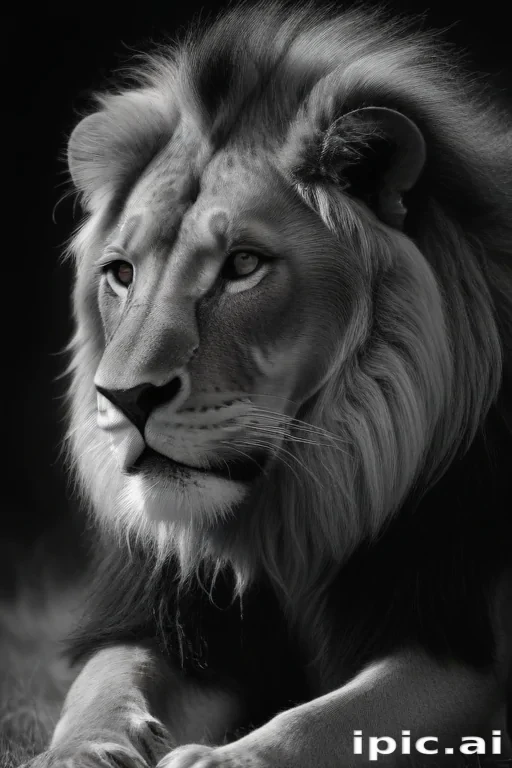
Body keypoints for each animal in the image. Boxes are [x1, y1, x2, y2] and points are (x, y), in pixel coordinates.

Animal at [24, 2, 511, 766]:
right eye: (121, 272)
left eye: (244, 265)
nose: (125, 399)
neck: (294, 519)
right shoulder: (176, 623)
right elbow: (103, 684)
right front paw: (76, 752)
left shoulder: (462, 645)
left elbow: (330, 720)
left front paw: (218, 758)